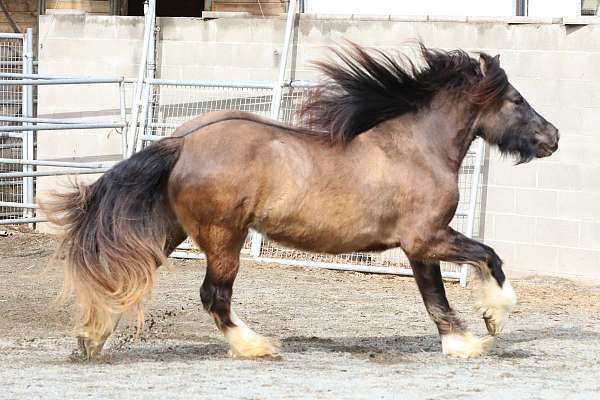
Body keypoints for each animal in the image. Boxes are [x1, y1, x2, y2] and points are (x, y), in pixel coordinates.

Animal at [42, 43, 556, 360]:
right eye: (515, 99)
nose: (551, 137)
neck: (416, 148)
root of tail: (182, 141)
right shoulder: (428, 238)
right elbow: (488, 258)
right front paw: (491, 321)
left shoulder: (418, 248)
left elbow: (435, 296)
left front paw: (460, 342)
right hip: (224, 238)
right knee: (214, 296)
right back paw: (257, 346)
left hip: (172, 231)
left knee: (123, 278)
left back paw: (92, 338)